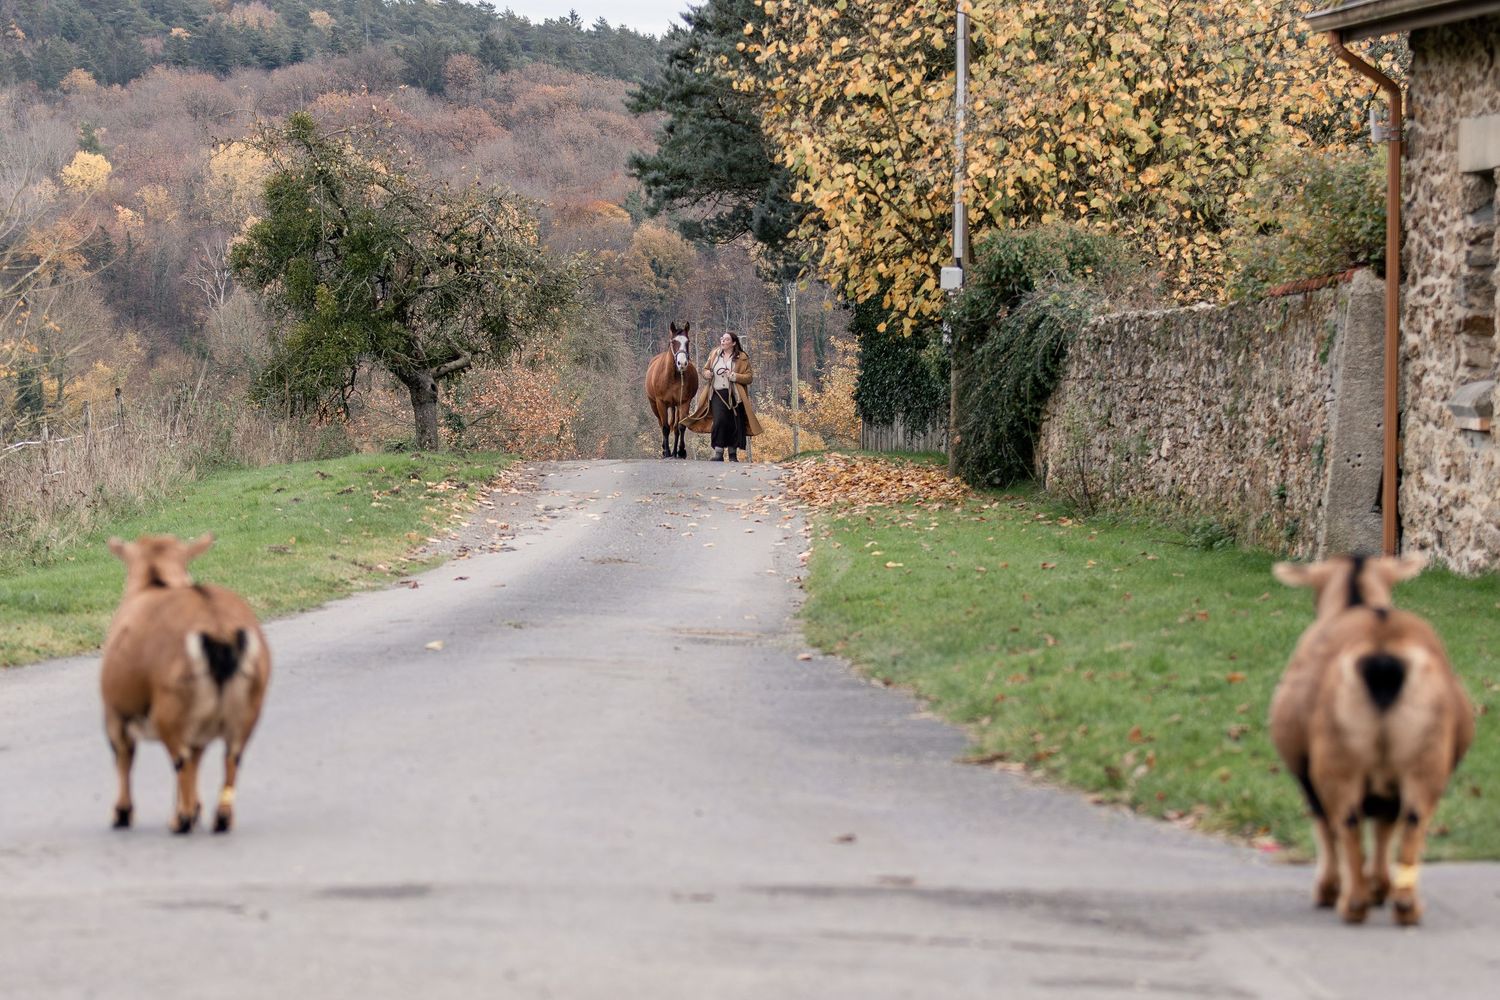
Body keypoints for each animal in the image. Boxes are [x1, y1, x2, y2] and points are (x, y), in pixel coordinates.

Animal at [100, 533, 271, 834]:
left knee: (180, 759)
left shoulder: (116, 713)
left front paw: (122, 813)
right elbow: (197, 758)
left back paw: (183, 818)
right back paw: (219, 817)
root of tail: (218, 628)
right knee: (230, 757)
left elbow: (124, 756)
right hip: (246, 708)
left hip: (169, 710)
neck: (154, 584)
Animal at [644, 321, 699, 459]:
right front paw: (667, 452)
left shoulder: (684, 402)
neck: (673, 376)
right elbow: (665, 427)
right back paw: (665, 450)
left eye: (688, 341)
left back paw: (675, 452)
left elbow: (680, 427)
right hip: (654, 405)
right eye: (673, 341)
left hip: (675, 406)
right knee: (662, 424)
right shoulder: (661, 403)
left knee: (674, 427)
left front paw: (681, 451)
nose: (682, 363)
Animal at [1269, 553, 1474, 925]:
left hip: (1337, 759)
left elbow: (1326, 825)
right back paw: (1404, 904)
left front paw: (1332, 889)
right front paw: (1380, 886)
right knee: (1411, 822)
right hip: (1426, 756)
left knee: (1346, 823)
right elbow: (1384, 826)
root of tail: (1382, 649)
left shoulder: (1306, 771)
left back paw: (1352, 903)